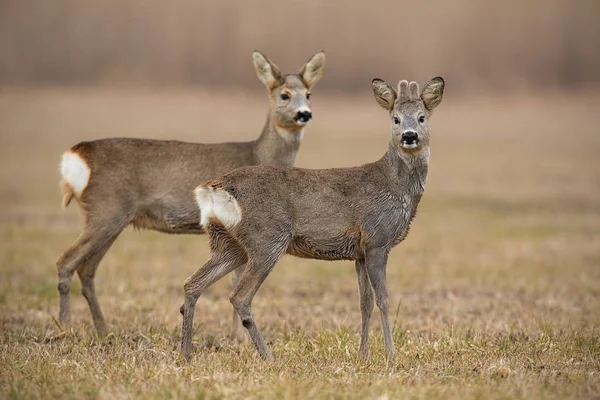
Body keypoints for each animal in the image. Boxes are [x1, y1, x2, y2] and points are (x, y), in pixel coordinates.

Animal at [56, 49, 326, 334]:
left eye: (308, 94)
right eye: (284, 94)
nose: (304, 114)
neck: (260, 155)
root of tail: (76, 155)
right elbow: (235, 281)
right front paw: (237, 336)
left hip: (112, 218)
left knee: (87, 269)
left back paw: (102, 329)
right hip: (106, 210)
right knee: (66, 261)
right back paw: (65, 326)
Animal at [180, 76, 442, 360]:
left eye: (422, 118)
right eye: (395, 119)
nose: (409, 136)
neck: (395, 186)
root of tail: (212, 188)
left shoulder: (360, 252)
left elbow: (365, 302)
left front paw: (363, 354)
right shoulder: (377, 239)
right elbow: (383, 299)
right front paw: (391, 354)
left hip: (228, 243)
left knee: (192, 284)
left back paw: (186, 354)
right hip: (266, 239)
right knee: (239, 297)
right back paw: (268, 356)